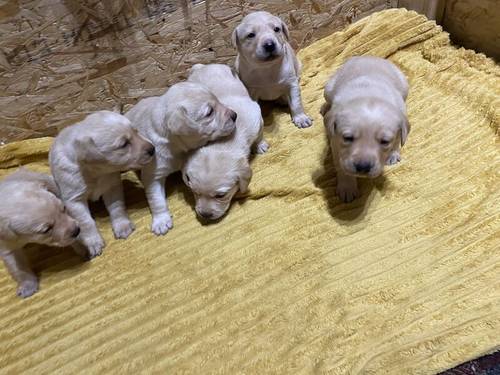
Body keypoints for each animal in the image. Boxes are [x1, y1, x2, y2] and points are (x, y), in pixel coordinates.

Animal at [0, 170, 80, 300]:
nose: (77, 231)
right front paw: (27, 285)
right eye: (46, 230)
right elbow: (18, 268)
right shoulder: (6, 244)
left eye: (63, 208)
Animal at [49, 111, 154, 258]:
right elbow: (86, 222)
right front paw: (93, 242)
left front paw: (122, 226)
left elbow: (117, 207)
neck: (95, 173)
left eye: (136, 131)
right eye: (124, 144)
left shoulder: (112, 186)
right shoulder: (74, 200)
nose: (153, 149)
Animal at [183, 63, 270, 222]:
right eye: (194, 191)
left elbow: (260, 134)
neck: (221, 144)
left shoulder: (256, 117)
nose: (205, 215)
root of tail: (203, 66)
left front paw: (260, 145)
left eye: (220, 195)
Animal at [320, 55, 410, 203]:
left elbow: (398, 139)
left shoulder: (401, 114)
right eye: (348, 138)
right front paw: (347, 187)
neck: (370, 95)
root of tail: (370, 56)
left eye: (384, 141)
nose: (363, 167)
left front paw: (393, 153)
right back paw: (325, 108)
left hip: (404, 86)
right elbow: (342, 167)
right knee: (328, 101)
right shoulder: (336, 143)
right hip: (328, 88)